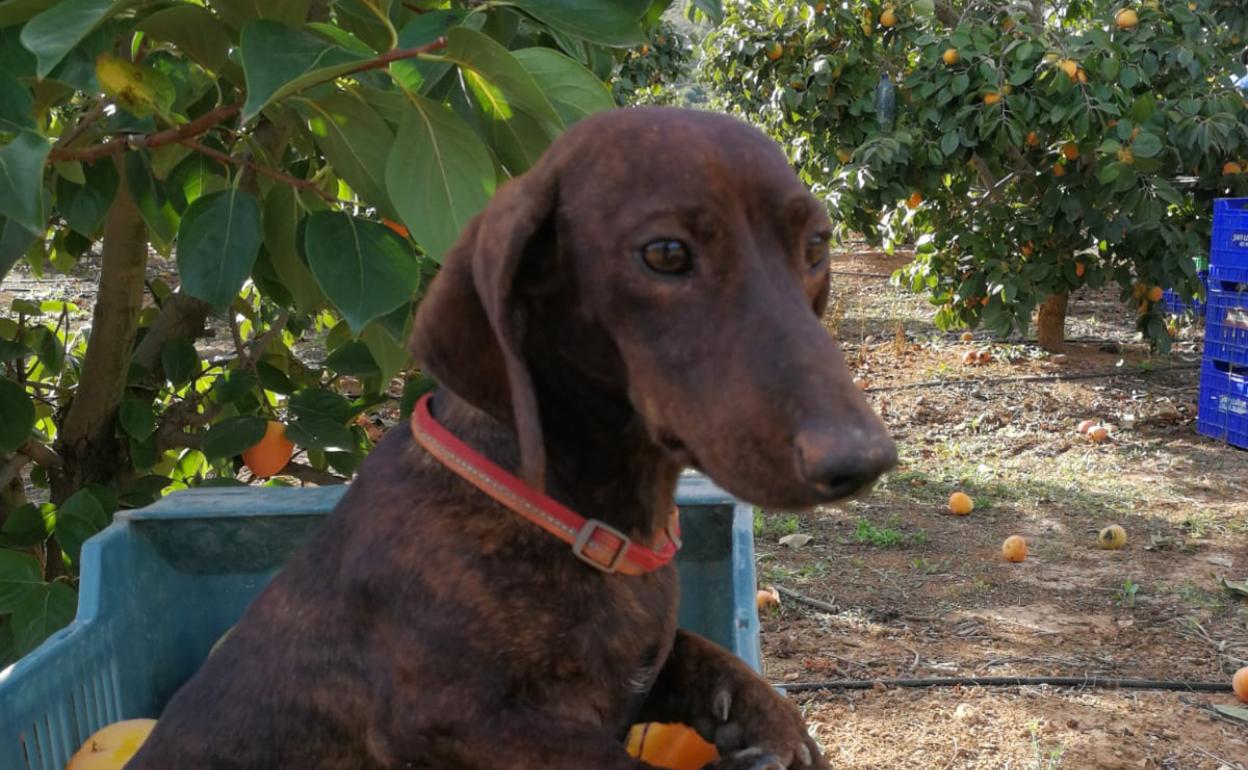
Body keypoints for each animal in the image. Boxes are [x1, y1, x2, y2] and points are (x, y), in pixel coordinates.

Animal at [131, 107, 898, 768]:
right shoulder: (460, 724)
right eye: (664, 253)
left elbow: (713, 657)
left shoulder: (646, 663)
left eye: (817, 244)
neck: (589, 521)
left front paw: (774, 726)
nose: (863, 460)